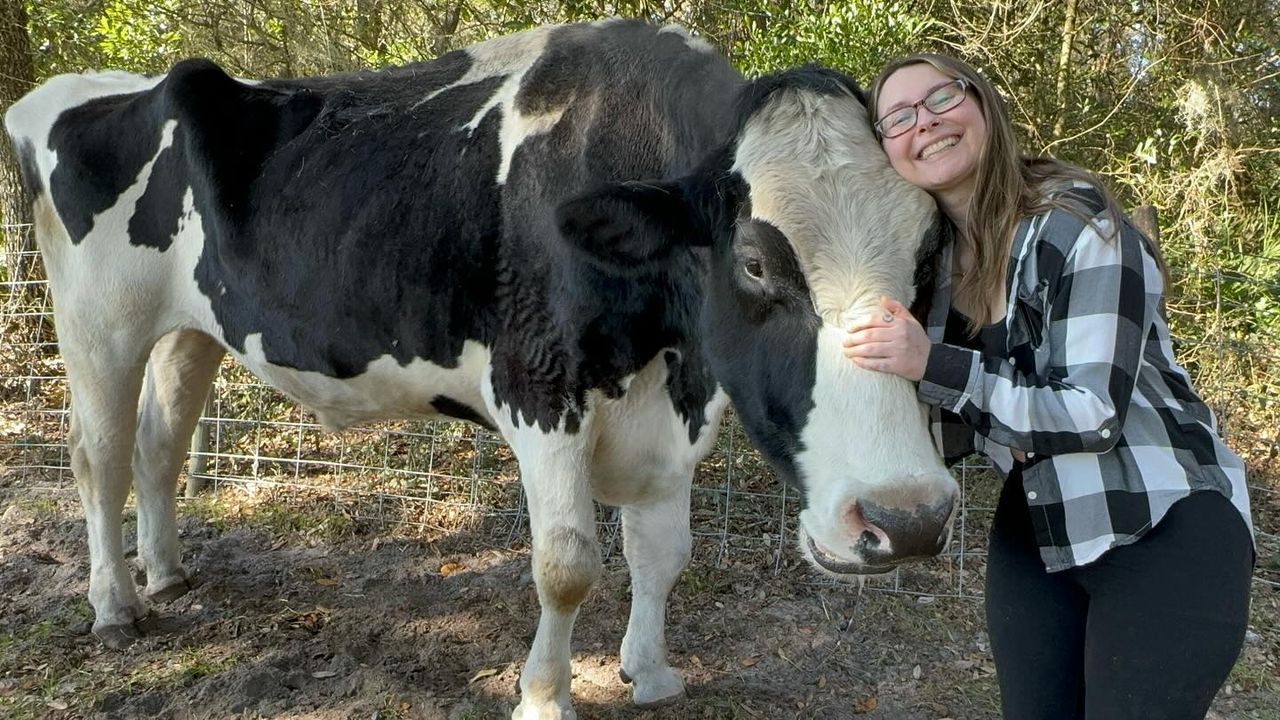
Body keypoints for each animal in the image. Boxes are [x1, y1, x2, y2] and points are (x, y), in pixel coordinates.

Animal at [5, 18, 957, 719]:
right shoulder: (539, 386)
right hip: (98, 321)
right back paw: (115, 605)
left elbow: (663, 551)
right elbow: (567, 563)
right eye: (756, 263)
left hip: (191, 328)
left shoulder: (675, 408)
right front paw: (544, 697)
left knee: (161, 444)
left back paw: (166, 570)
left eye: (928, 250)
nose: (907, 520)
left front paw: (649, 673)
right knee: (99, 457)